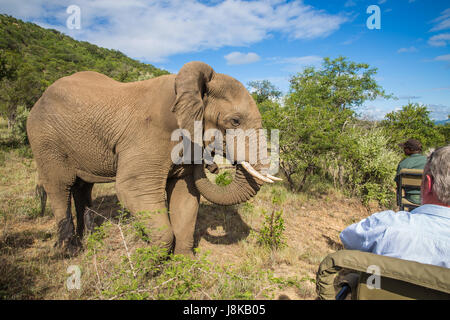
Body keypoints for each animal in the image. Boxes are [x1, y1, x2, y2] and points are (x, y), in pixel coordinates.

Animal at [25, 60, 278, 255]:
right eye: (235, 121)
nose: (212, 165)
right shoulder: (148, 137)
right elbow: (134, 188)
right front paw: (149, 262)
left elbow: (185, 196)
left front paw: (182, 265)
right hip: (44, 139)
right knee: (60, 186)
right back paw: (71, 251)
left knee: (83, 187)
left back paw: (91, 237)